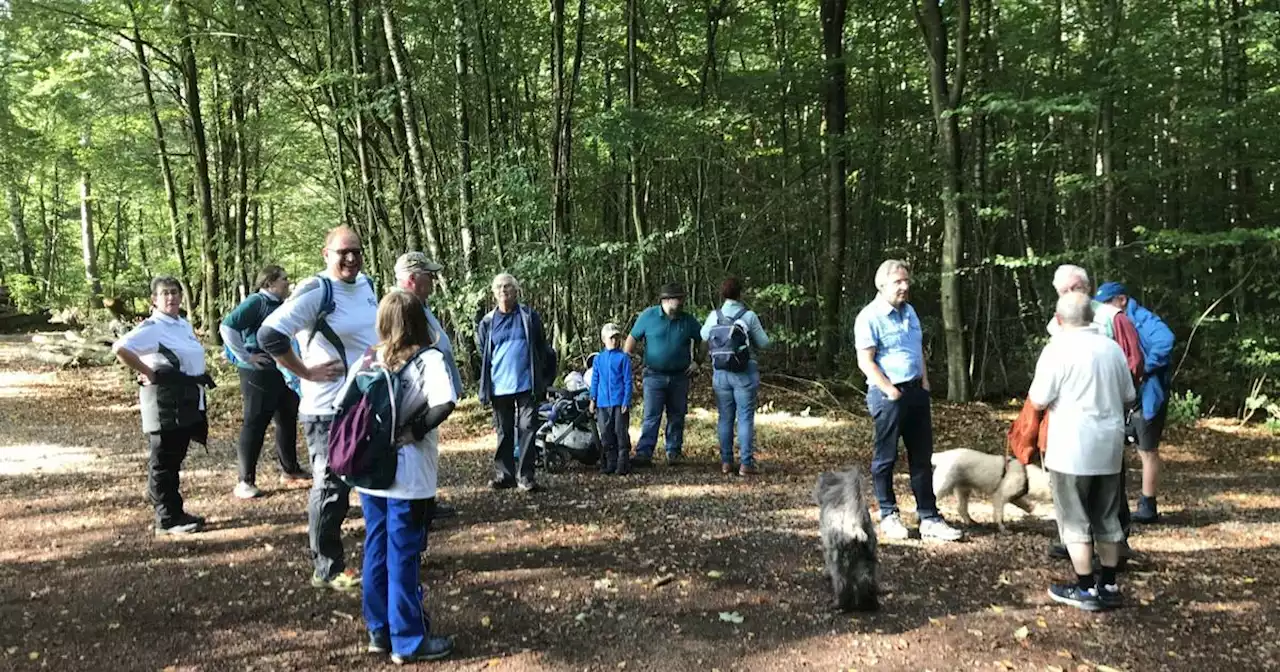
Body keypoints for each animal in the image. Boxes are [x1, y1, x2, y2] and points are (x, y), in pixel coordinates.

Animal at [814, 463, 875, 609]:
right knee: (866, 580)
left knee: (841, 582)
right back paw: (868, 603)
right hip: (867, 558)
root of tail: (855, 523)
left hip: (839, 560)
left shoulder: (827, 547)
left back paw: (839, 604)